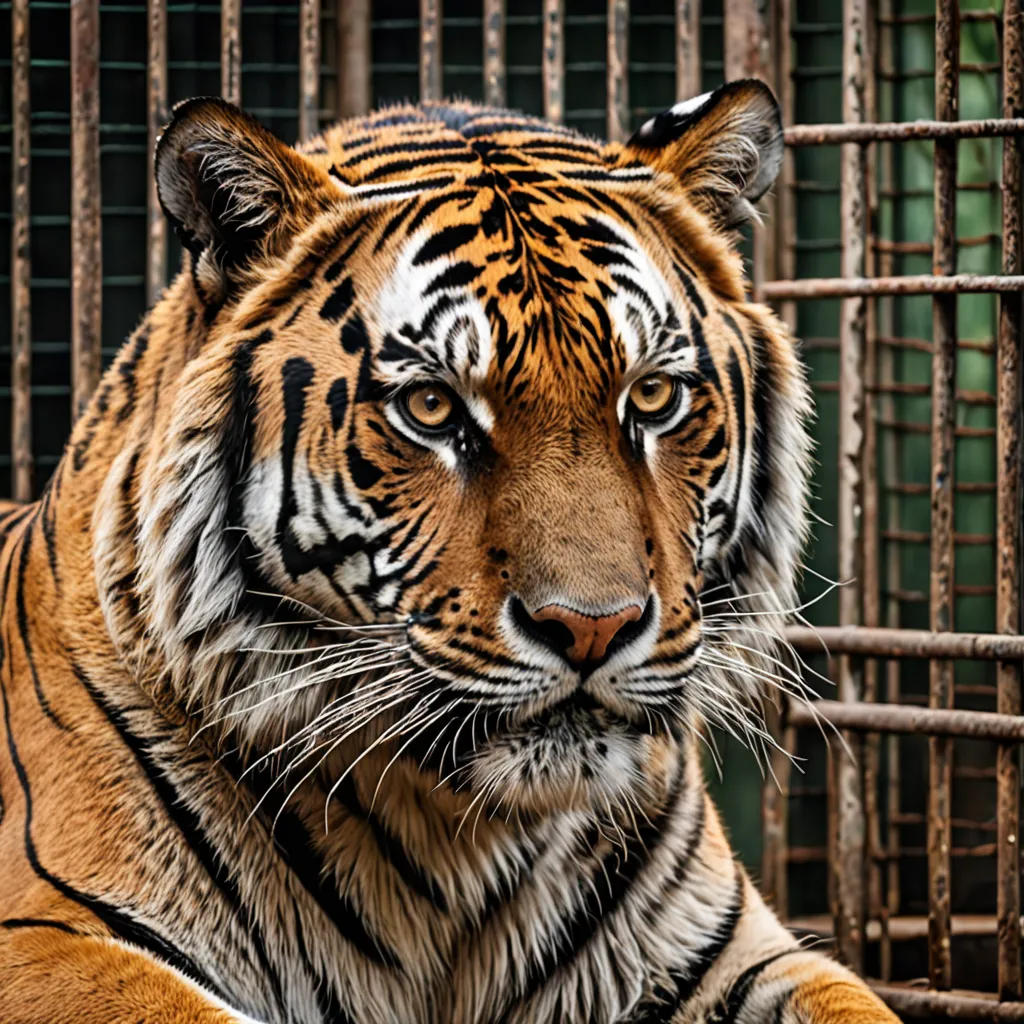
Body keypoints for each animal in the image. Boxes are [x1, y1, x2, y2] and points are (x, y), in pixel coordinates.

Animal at [0, 81, 898, 1023]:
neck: (461, 841)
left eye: (652, 396)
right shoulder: (47, 939)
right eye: (431, 409)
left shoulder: (735, 951)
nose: (593, 628)